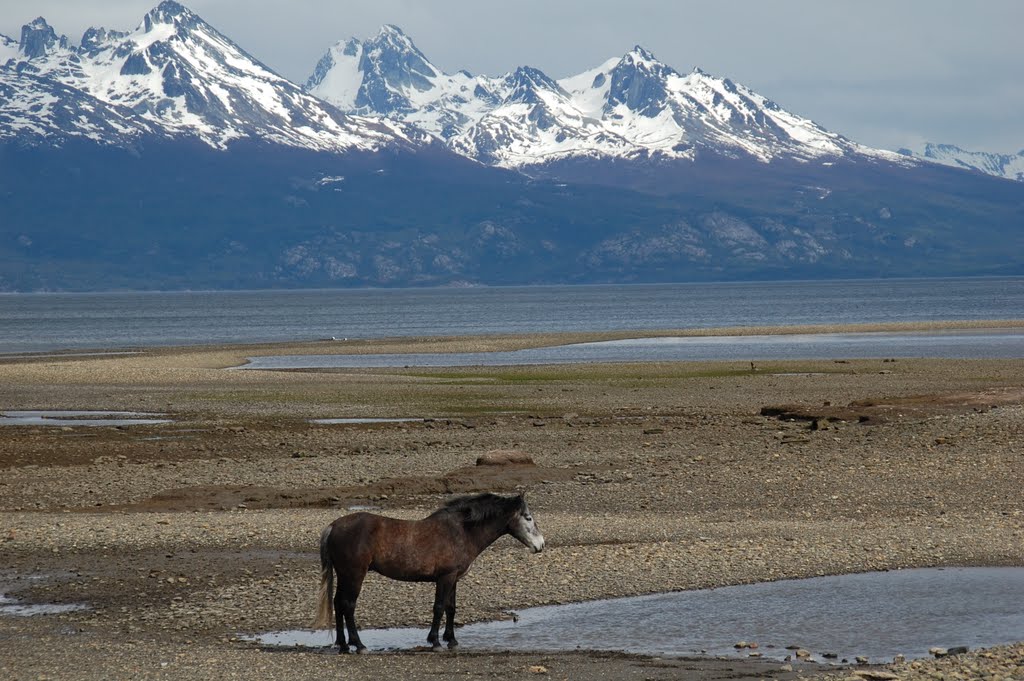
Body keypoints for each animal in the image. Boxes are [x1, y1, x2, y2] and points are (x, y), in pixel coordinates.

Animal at [311, 491, 544, 651]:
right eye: (528, 517)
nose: (540, 545)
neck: (461, 531)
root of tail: (333, 526)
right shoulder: (445, 578)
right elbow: (439, 608)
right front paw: (435, 641)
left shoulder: (454, 578)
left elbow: (451, 608)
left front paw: (452, 640)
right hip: (354, 575)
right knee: (348, 606)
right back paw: (358, 645)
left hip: (344, 575)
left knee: (338, 604)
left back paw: (343, 645)